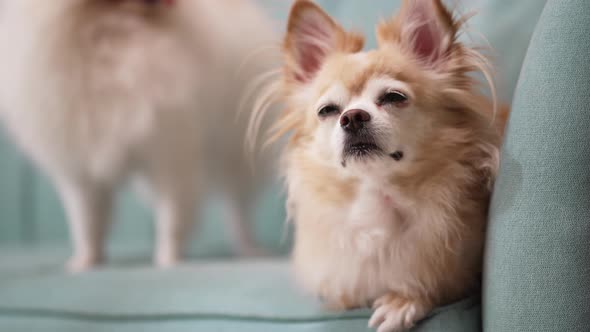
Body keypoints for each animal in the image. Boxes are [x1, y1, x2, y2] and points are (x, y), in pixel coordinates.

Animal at [0, 0, 278, 270]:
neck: (116, 34)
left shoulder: (170, 157)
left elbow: (172, 216)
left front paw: (169, 259)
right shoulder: (83, 175)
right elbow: (88, 224)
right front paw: (87, 261)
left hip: (235, 161)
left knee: (238, 211)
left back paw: (250, 248)